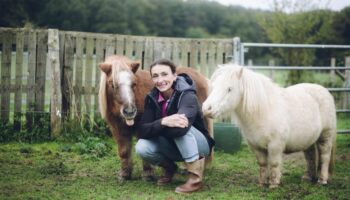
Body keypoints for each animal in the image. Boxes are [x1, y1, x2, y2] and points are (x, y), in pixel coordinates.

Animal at [202, 63, 336, 188]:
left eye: (229, 89)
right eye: (213, 87)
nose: (206, 109)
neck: (263, 111)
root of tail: (325, 91)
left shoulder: (275, 145)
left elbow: (274, 164)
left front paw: (273, 184)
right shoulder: (256, 146)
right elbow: (262, 164)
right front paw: (262, 183)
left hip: (326, 135)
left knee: (324, 156)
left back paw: (322, 180)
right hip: (308, 139)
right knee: (310, 156)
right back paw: (308, 177)